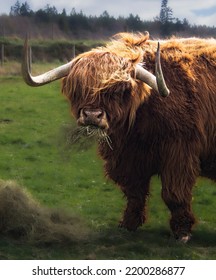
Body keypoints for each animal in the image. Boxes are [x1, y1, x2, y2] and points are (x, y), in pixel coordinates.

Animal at [22, 32, 216, 243]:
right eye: (80, 88)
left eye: (118, 90)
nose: (92, 115)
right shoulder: (127, 157)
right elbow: (134, 192)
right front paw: (128, 225)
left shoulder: (179, 152)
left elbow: (174, 194)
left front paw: (182, 232)